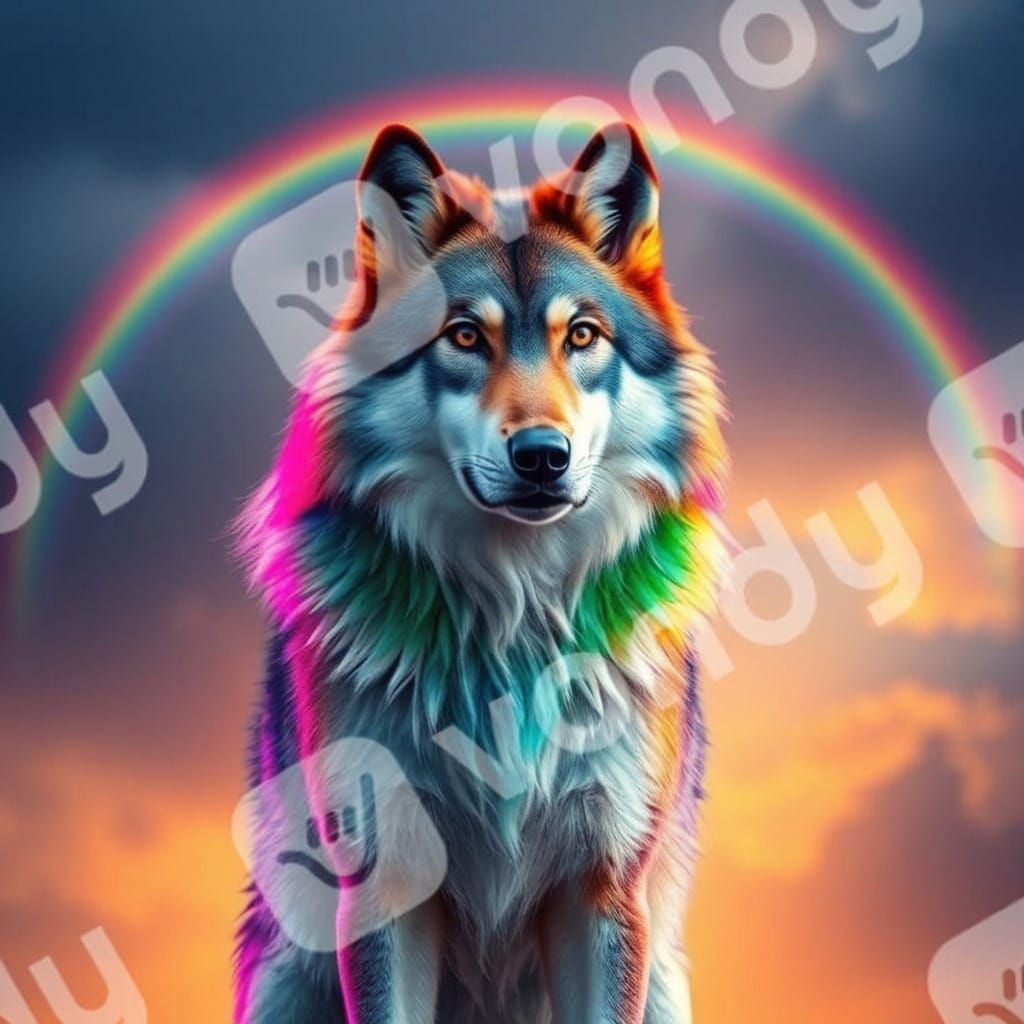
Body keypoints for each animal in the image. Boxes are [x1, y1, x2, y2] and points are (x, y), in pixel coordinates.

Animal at [234, 120, 728, 1023]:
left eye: (582, 336)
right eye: (464, 336)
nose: (541, 456)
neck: (515, 618)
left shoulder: (602, 889)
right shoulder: (387, 881)